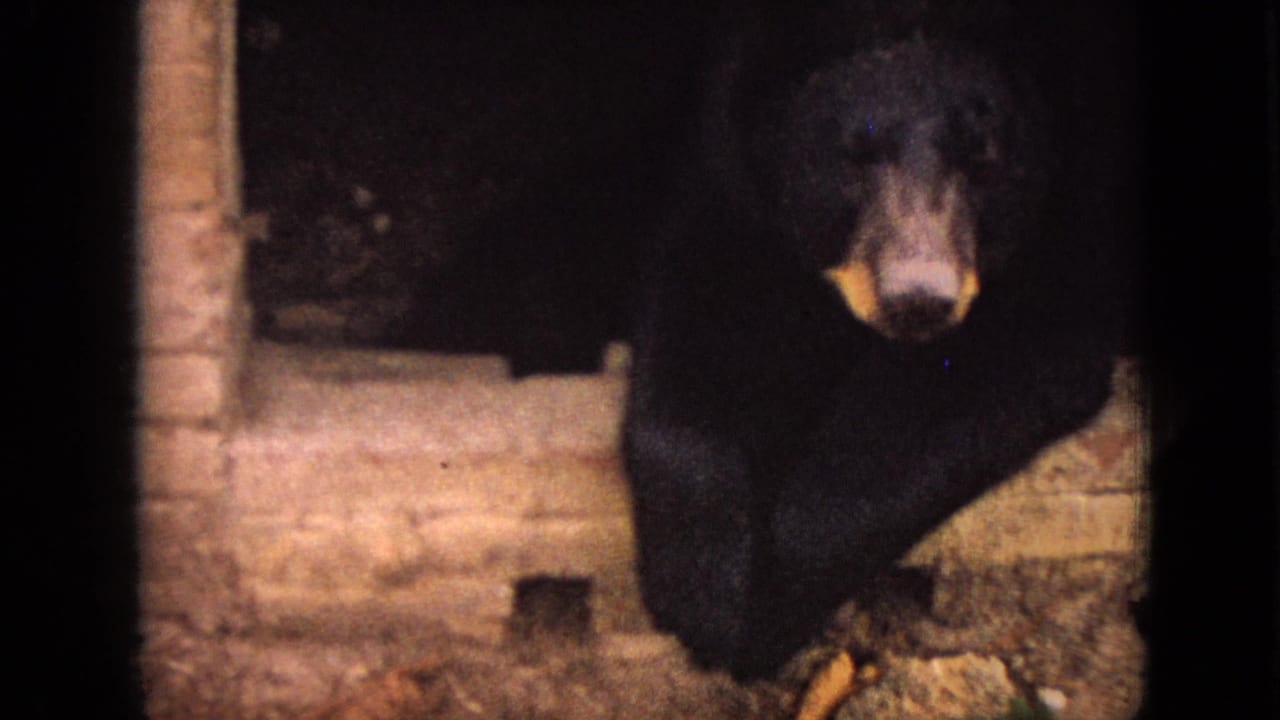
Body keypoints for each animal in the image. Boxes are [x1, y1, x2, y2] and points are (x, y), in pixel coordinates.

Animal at [622, 1, 1133, 680]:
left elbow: (1006, 358)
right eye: (854, 151)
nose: (917, 297)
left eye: (983, 155)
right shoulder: (730, 160)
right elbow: (707, 301)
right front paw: (703, 591)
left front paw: (764, 615)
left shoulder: (1074, 213)